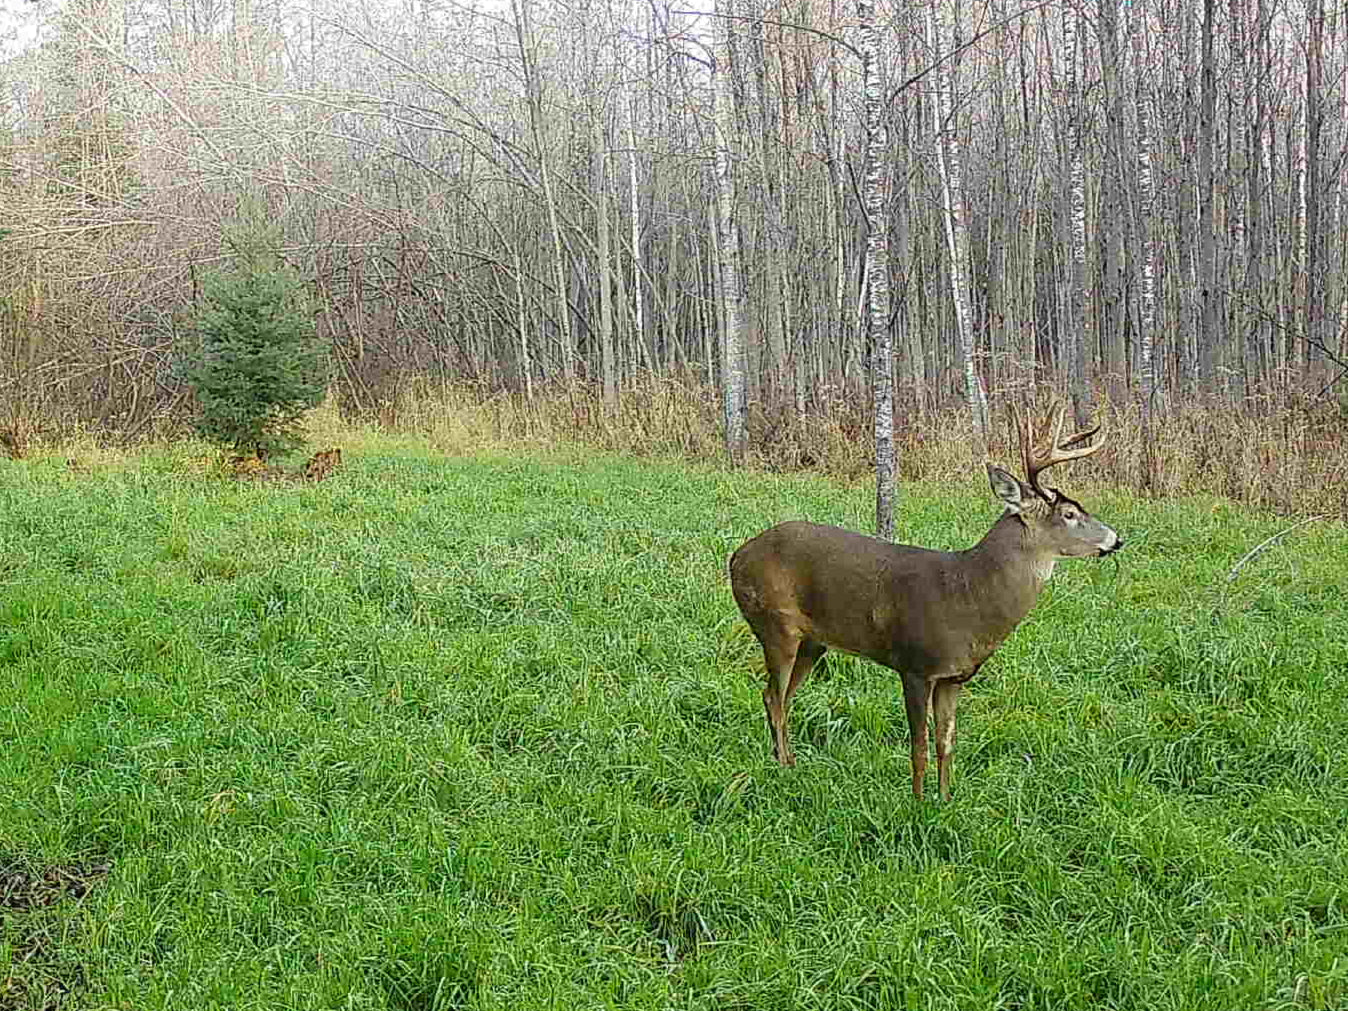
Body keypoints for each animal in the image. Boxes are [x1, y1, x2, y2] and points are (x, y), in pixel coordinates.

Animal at [733, 399, 1121, 803]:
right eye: (1070, 514)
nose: (1116, 539)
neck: (966, 596)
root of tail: (736, 557)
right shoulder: (915, 665)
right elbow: (918, 743)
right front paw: (918, 803)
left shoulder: (954, 677)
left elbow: (945, 742)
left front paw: (946, 800)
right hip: (774, 625)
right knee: (773, 696)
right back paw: (783, 769)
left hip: (813, 642)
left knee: (783, 697)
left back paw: (791, 762)